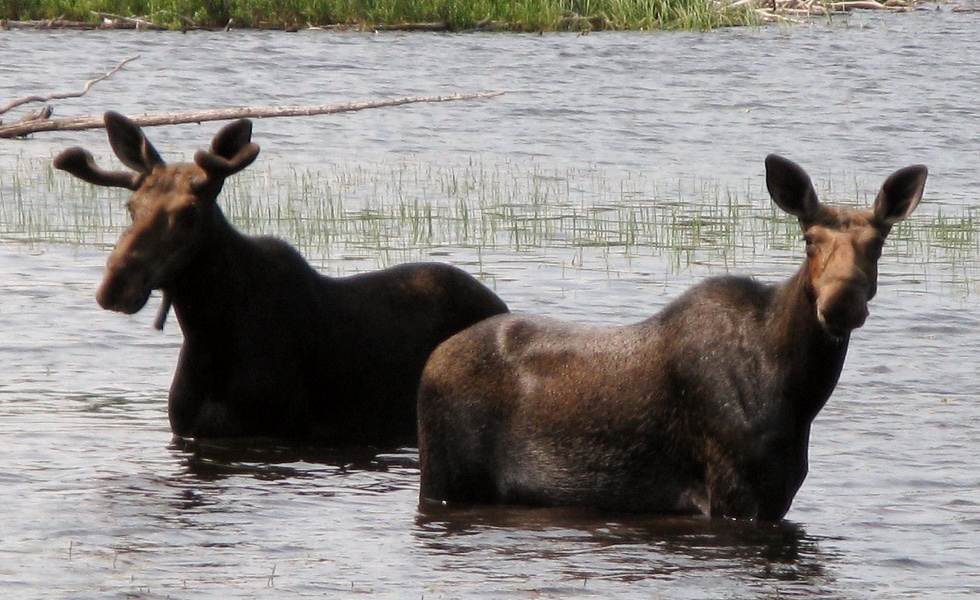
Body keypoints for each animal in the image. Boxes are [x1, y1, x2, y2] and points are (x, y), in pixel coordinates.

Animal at [53, 111, 510, 446]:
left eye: (190, 213)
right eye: (131, 207)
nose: (115, 285)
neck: (209, 336)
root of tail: (499, 304)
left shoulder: (279, 429)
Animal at [420, 155, 928, 520]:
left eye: (878, 244)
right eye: (808, 240)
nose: (841, 303)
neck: (799, 394)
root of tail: (431, 361)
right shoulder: (733, 494)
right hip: (443, 480)